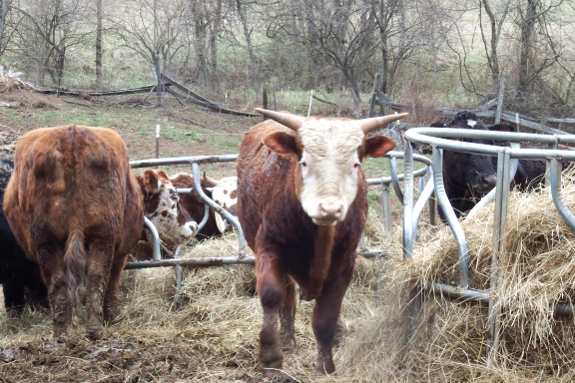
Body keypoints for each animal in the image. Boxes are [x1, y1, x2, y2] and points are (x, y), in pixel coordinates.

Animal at [236, 108, 408, 376]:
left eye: (355, 164)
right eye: (304, 162)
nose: (329, 208)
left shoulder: (345, 263)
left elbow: (327, 314)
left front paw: (326, 363)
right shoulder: (268, 248)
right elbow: (272, 294)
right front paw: (270, 356)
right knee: (287, 293)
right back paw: (286, 339)